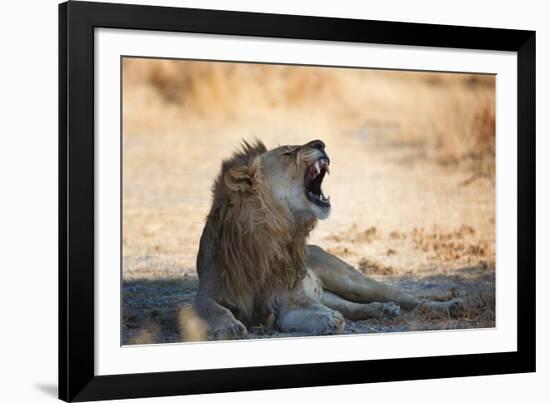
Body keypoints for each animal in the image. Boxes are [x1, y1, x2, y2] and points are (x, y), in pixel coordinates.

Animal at [196, 140, 464, 340]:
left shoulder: (290, 300)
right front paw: (230, 327)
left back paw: (450, 306)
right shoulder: (208, 293)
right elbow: (211, 309)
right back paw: (384, 309)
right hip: (331, 293)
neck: (270, 235)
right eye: (287, 153)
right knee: (355, 307)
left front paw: (328, 319)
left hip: (354, 281)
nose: (320, 143)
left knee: (412, 299)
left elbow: (311, 311)